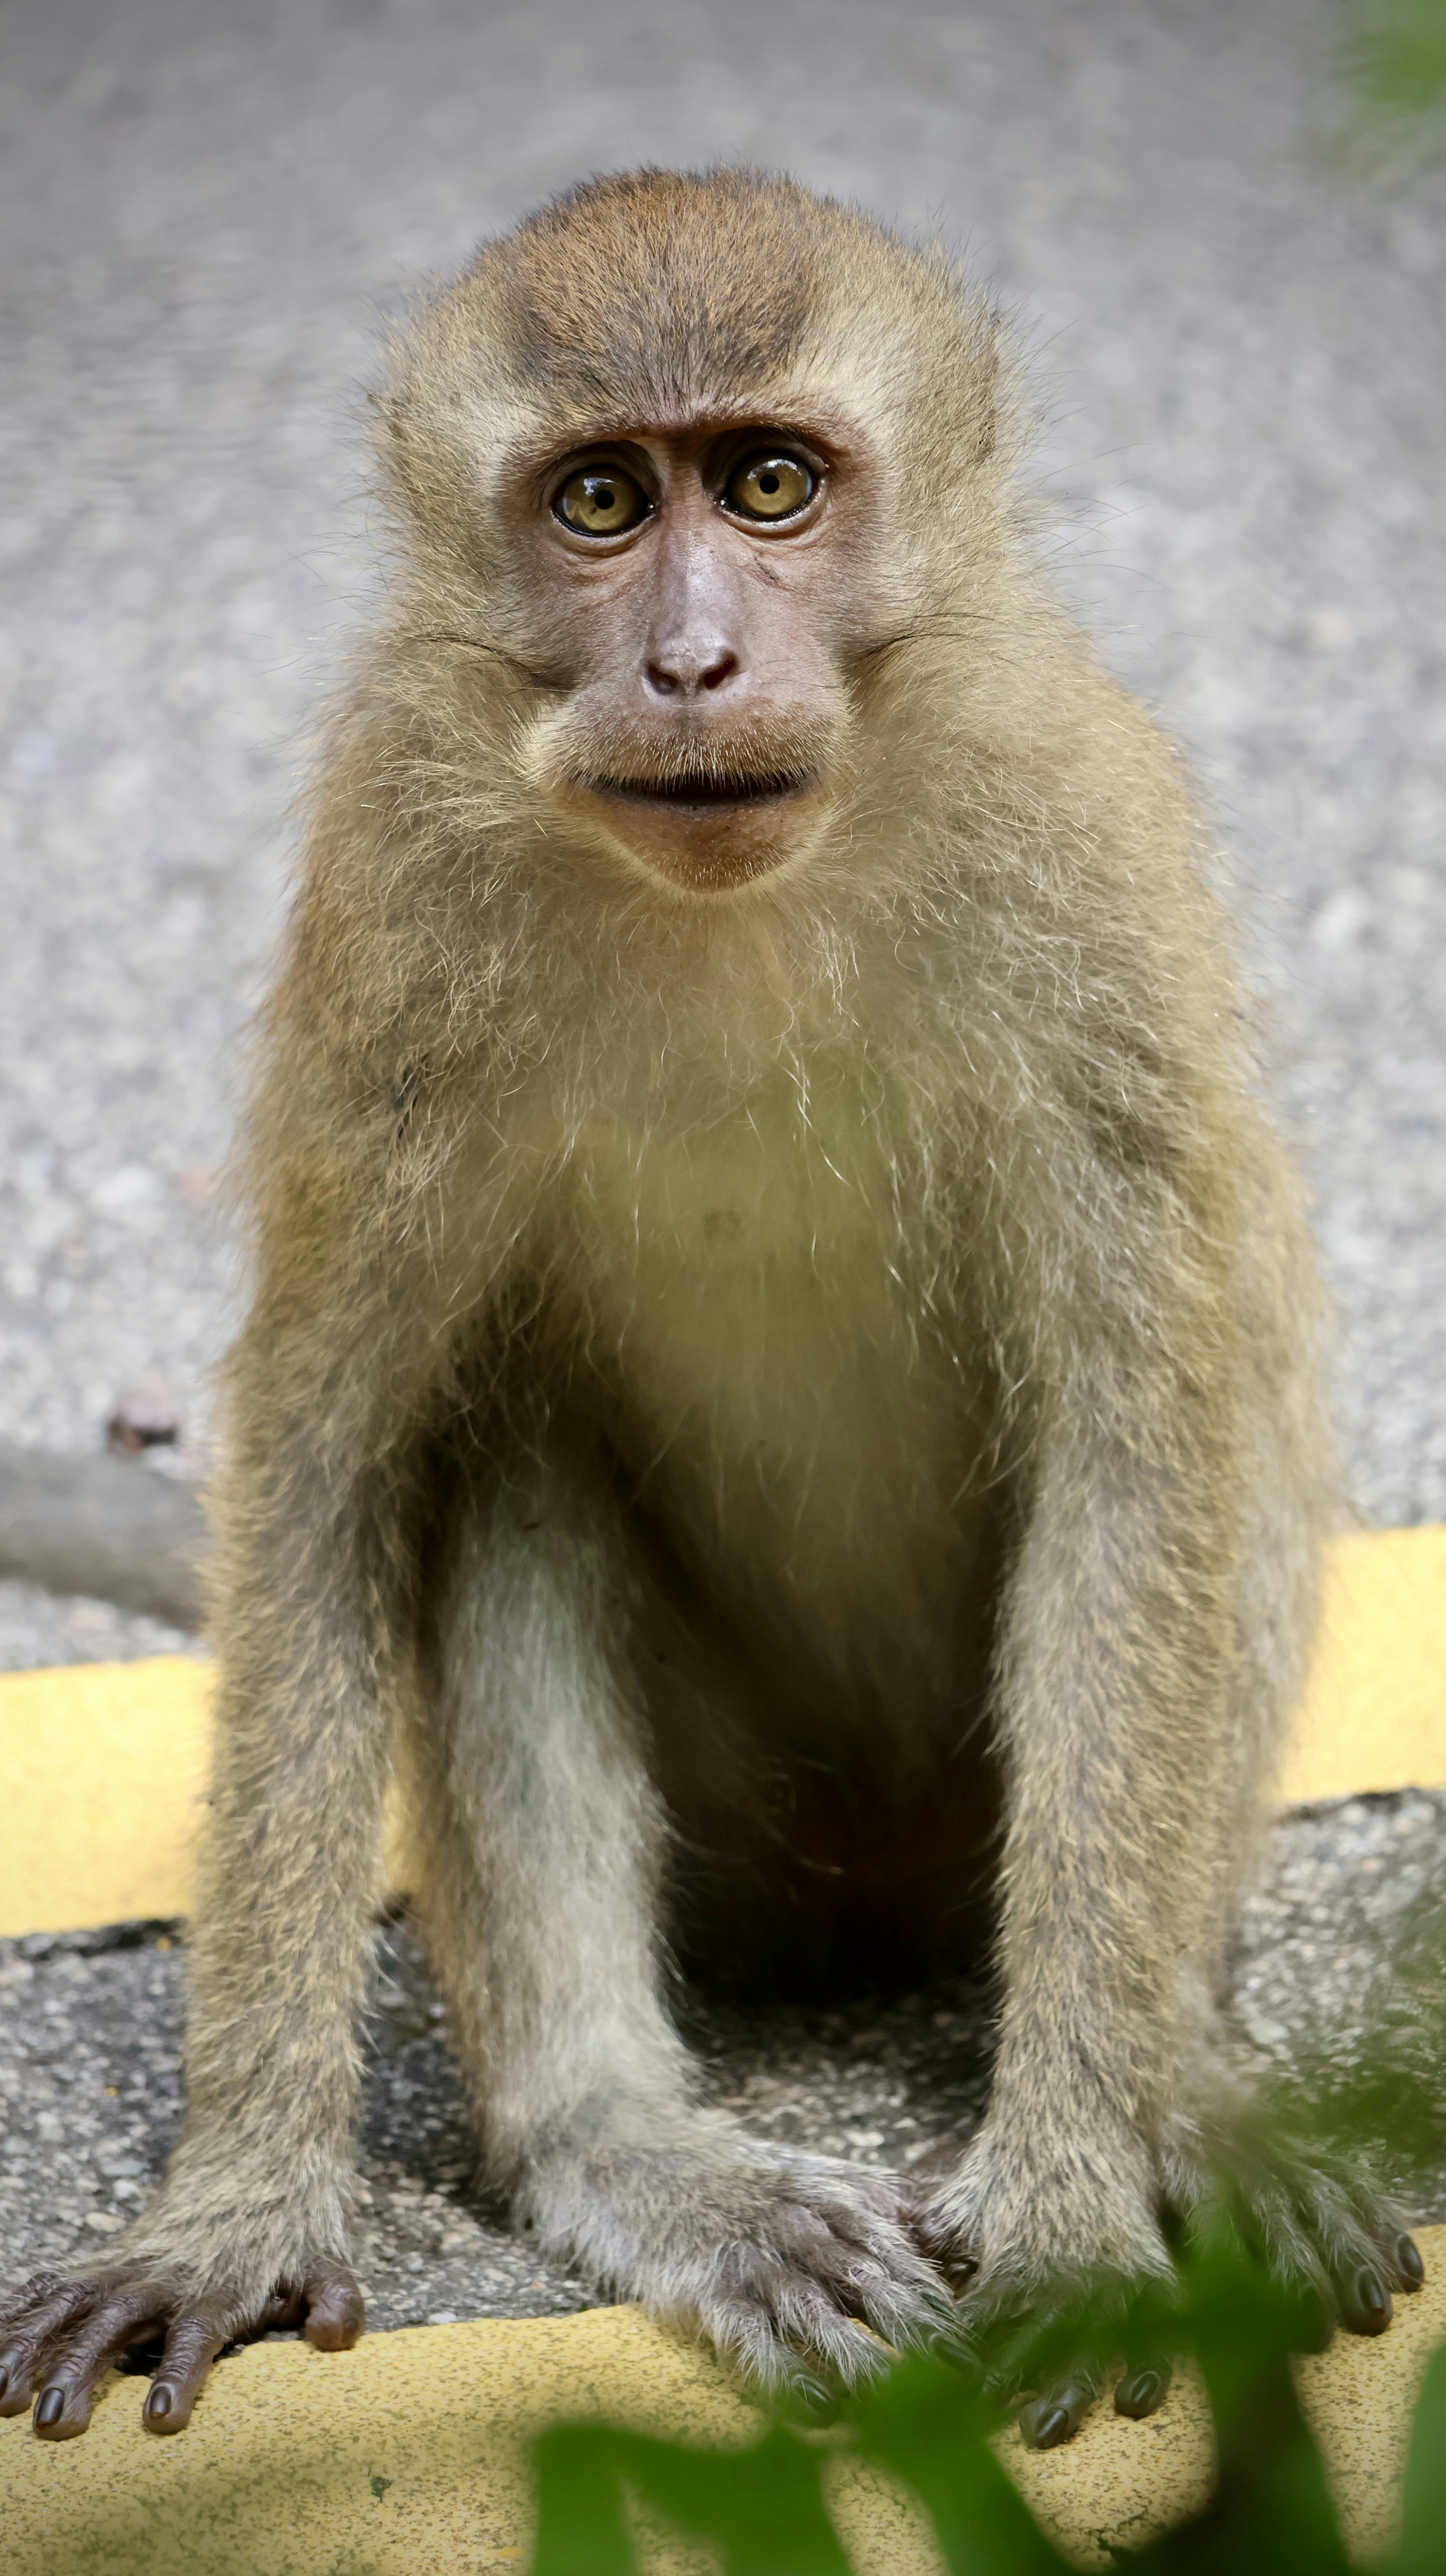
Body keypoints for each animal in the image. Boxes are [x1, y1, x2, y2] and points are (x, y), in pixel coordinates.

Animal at [0, 167, 1423, 2453]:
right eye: (597, 501)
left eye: (767, 485)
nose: (686, 661)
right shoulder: (390, 884)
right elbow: (328, 1450)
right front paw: (230, 2202)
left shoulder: (1075, 828)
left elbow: (1135, 1422)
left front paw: (1066, 2190)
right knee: (498, 1441)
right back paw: (619, 2144)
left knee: (1235, 1362)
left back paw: (1179, 2074)